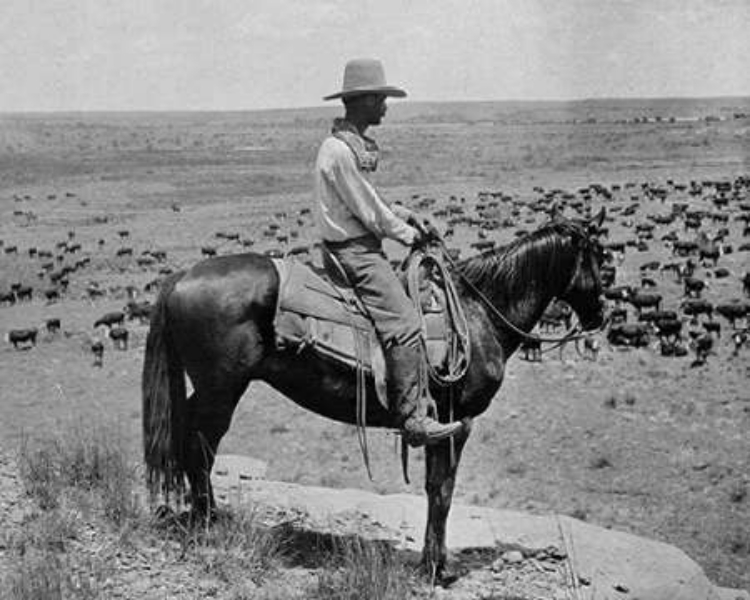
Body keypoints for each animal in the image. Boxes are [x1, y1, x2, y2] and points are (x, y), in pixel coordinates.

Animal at [142, 213, 612, 580]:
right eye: (598, 257)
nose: (600, 315)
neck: (479, 314)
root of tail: (181, 277)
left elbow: (434, 489)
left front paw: (432, 561)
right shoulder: (457, 422)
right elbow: (442, 491)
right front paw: (438, 568)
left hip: (208, 389)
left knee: (188, 442)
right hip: (221, 390)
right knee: (200, 447)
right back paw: (209, 524)